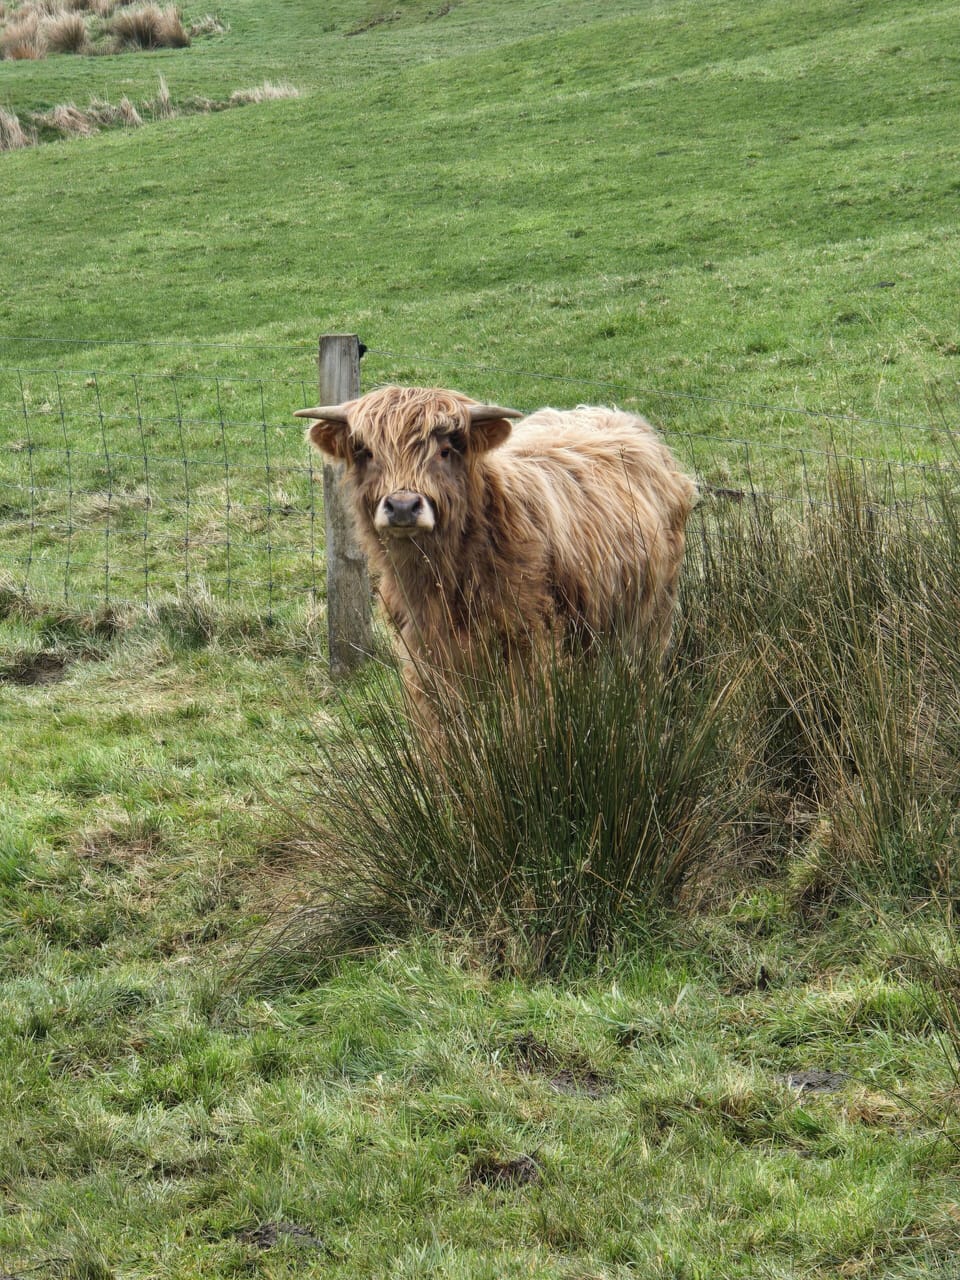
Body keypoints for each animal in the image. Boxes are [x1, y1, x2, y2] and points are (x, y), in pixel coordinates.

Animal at [296, 385, 696, 698]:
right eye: (365, 453)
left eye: (445, 451)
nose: (403, 506)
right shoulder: (423, 655)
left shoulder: (530, 645)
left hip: (653, 612)